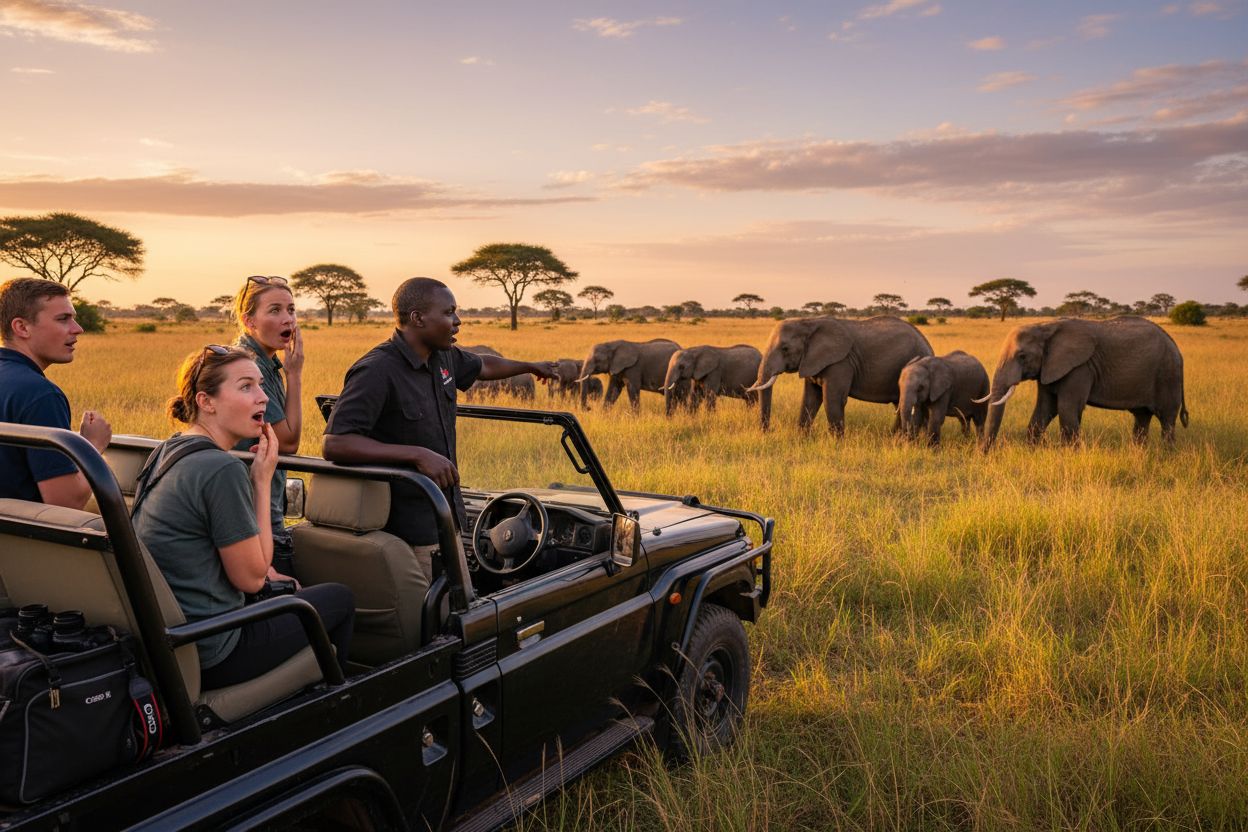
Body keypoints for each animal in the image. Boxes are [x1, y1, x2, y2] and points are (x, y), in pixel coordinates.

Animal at [748, 316, 934, 433]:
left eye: (785, 349)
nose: (769, 431)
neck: (809, 322)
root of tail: (928, 345)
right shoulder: (811, 360)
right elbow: (810, 398)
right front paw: (801, 438)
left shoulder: (840, 362)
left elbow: (832, 399)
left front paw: (836, 444)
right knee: (900, 404)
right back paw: (894, 437)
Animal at [978, 316, 1188, 449]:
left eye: (1022, 356)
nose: (985, 454)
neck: (1046, 327)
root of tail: (1176, 346)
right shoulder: (1049, 367)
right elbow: (1045, 409)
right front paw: (1032, 450)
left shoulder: (1079, 368)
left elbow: (1066, 408)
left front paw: (1069, 454)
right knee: (1142, 417)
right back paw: (1139, 452)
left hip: (1168, 375)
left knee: (1167, 419)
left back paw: (1167, 454)